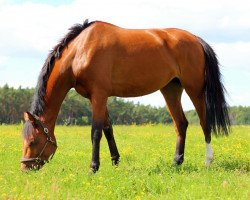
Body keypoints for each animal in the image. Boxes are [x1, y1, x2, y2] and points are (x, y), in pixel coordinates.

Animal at [20, 19, 229, 172]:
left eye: (33, 141)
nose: (25, 168)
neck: (81, 50)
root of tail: (196, 39)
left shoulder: (99, 95)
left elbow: (96, 131)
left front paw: (93, 167)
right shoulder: (96, 97)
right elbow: (108, 129)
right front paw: (115, 161)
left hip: (194, 88)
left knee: (204, 122)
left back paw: (208, 161)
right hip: (170, 89)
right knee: (181, 124)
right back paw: (176, 162)